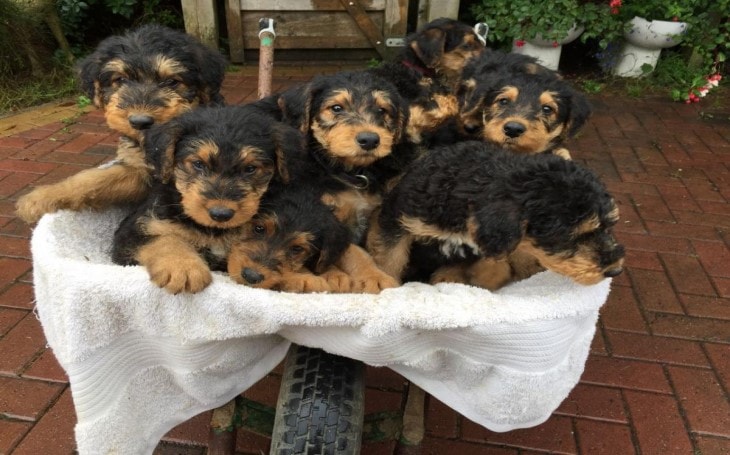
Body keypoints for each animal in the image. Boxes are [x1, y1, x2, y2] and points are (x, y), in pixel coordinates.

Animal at [17, 25, 228, 224]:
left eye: (172, 81)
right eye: (120, 79)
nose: (140, 121)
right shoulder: (138, 170)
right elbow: (94, 178)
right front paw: (39, 199)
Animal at [110, 105, 296, 294]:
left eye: (250, 168)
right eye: (198, 163)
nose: (221, 214)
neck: (212, 231)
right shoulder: (131, 233)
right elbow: (164, 238)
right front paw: (182, 267)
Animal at [366, 141, 624, 288]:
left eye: (607, 226)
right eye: (568, 237)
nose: (615, 270)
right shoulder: (398, 217)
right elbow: (390, 259)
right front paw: (387, 286)